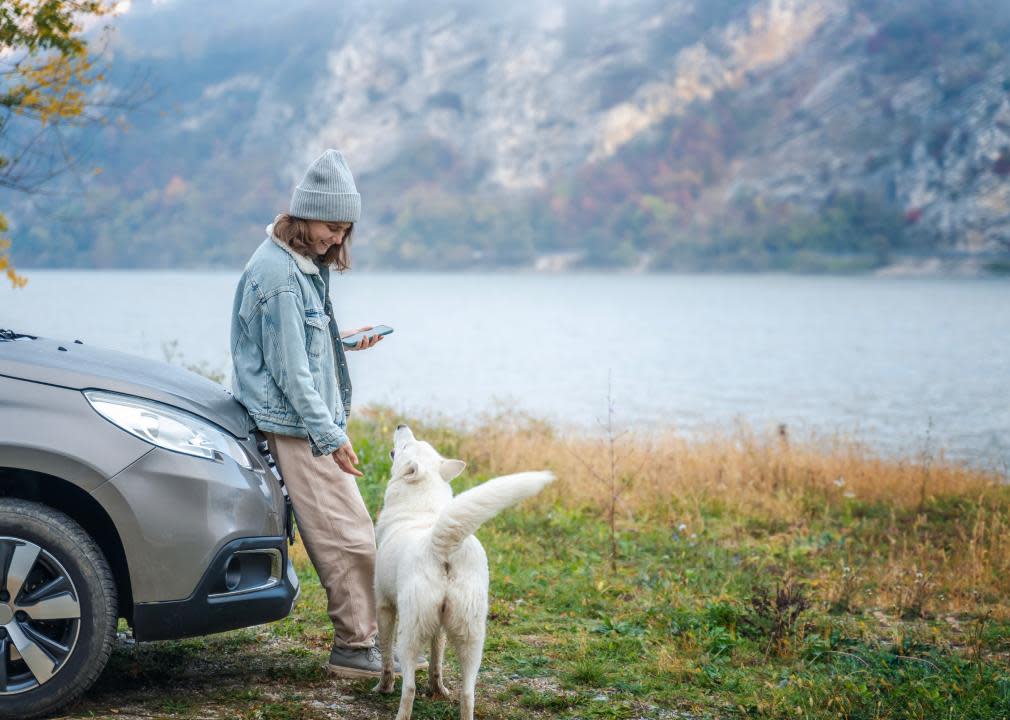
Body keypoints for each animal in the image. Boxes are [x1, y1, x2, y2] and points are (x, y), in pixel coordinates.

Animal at [375, 424, 557, 718]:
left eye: (404, 447)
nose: (402, 426)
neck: (421, 508)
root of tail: (442, 544)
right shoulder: (439, 626)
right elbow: (437, 660)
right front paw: (437, 690)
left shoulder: (384, 606)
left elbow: (386, 658)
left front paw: (383, 687)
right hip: (472, 636)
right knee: (468, 692)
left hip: (411, 631)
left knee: (409, 687)